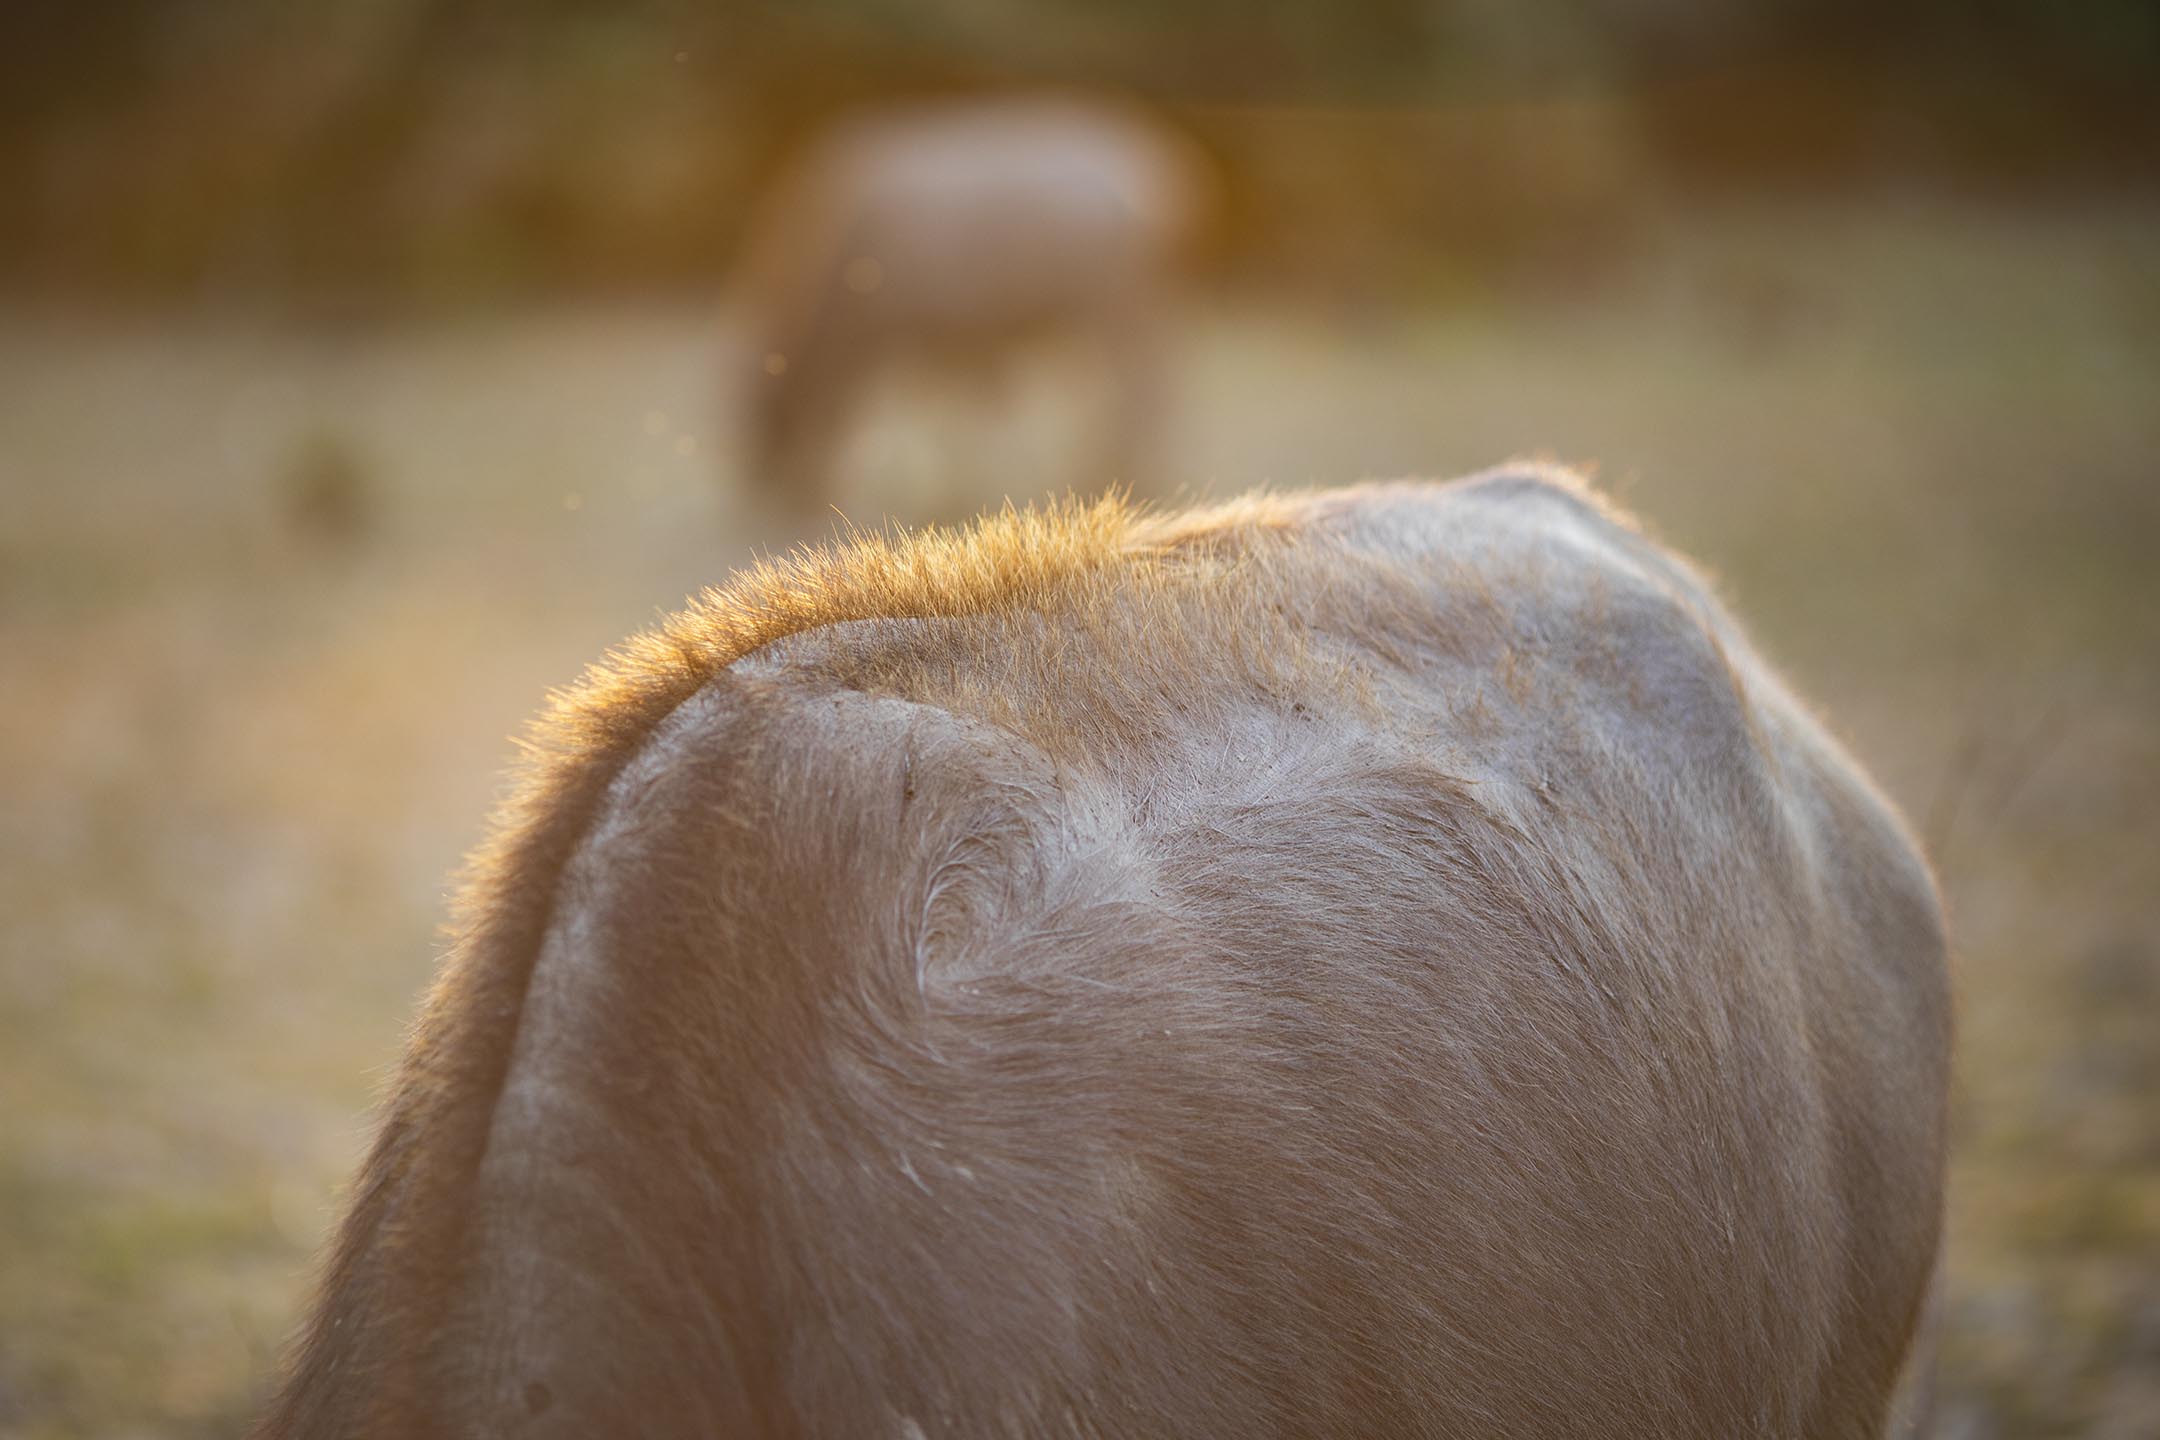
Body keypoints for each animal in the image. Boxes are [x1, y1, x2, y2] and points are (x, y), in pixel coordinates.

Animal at [730, 92, 1209, 518]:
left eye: (762, 412)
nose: (769, 494)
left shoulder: (928, 333)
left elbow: (950, 418)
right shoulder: (960, 341)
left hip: (1115, 306)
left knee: (1142, 392)